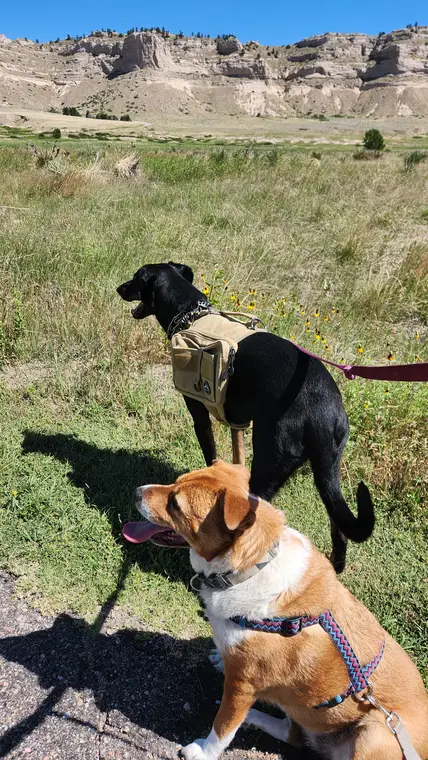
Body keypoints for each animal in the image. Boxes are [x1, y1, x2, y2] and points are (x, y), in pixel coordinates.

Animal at [118, 262, 374, 568]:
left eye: (136, 277)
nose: (119, 288)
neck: (192, 316)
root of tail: (323, 413)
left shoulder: (199, 413)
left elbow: (210, 453)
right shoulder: (238, 422)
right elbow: (236, 457)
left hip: (271, 459)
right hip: (327, 470)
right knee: (339, 523)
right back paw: (335, 563)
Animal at [125, 460, 428, 756]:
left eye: (175, 504)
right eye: (175, 481)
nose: (136, 492)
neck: (249, 568)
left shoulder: (242, 686)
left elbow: (223, 726)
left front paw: (202, 751)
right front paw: (220, 659)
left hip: (373, 734)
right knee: (292, 734)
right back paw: (254, 717)